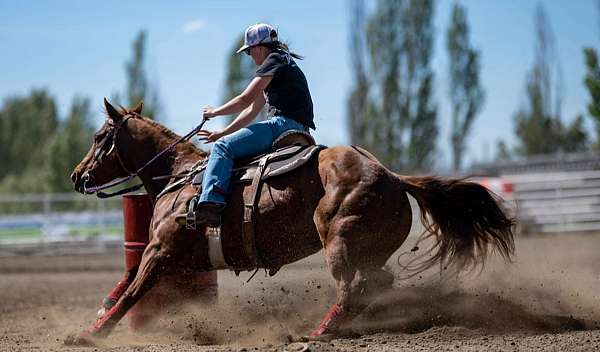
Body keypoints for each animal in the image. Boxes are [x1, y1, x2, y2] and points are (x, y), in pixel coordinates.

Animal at [68, 99, 512, 344]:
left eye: (98, 137)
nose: (76, 175)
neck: (179, 175)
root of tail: (392, 176)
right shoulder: (164, 254)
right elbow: (124, 282)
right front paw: (97, 317)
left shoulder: (161, 250)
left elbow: (132, 292)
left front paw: (92, 335)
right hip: (371, 248)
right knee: (376, 282)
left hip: (338, 236)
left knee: (352, 284)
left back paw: (319, 332)